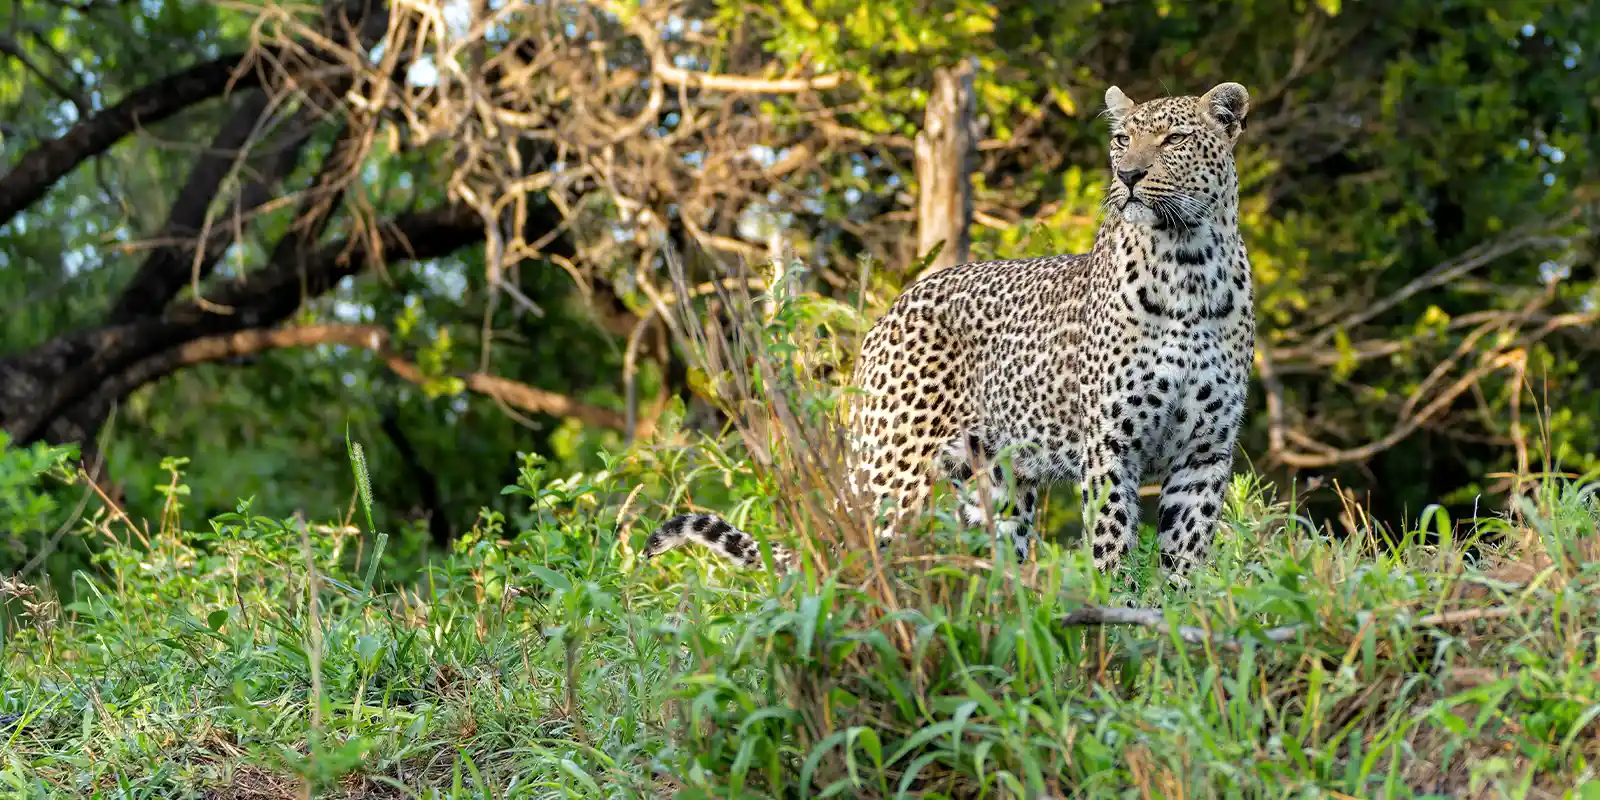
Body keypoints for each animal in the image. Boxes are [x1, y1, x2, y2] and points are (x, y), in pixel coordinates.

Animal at [642, 81, 1255, 588]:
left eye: (1175, 138)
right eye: (1122, 140)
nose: (1128, 177)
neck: (1188, 268)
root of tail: (886, 315)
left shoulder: (1204, 454)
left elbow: (1184, 564)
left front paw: (1167, 632)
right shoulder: (1110, 446)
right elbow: (1113, 550)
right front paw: (1114, 633)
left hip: (997, 487)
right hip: (893, 473)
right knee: (854, 556)